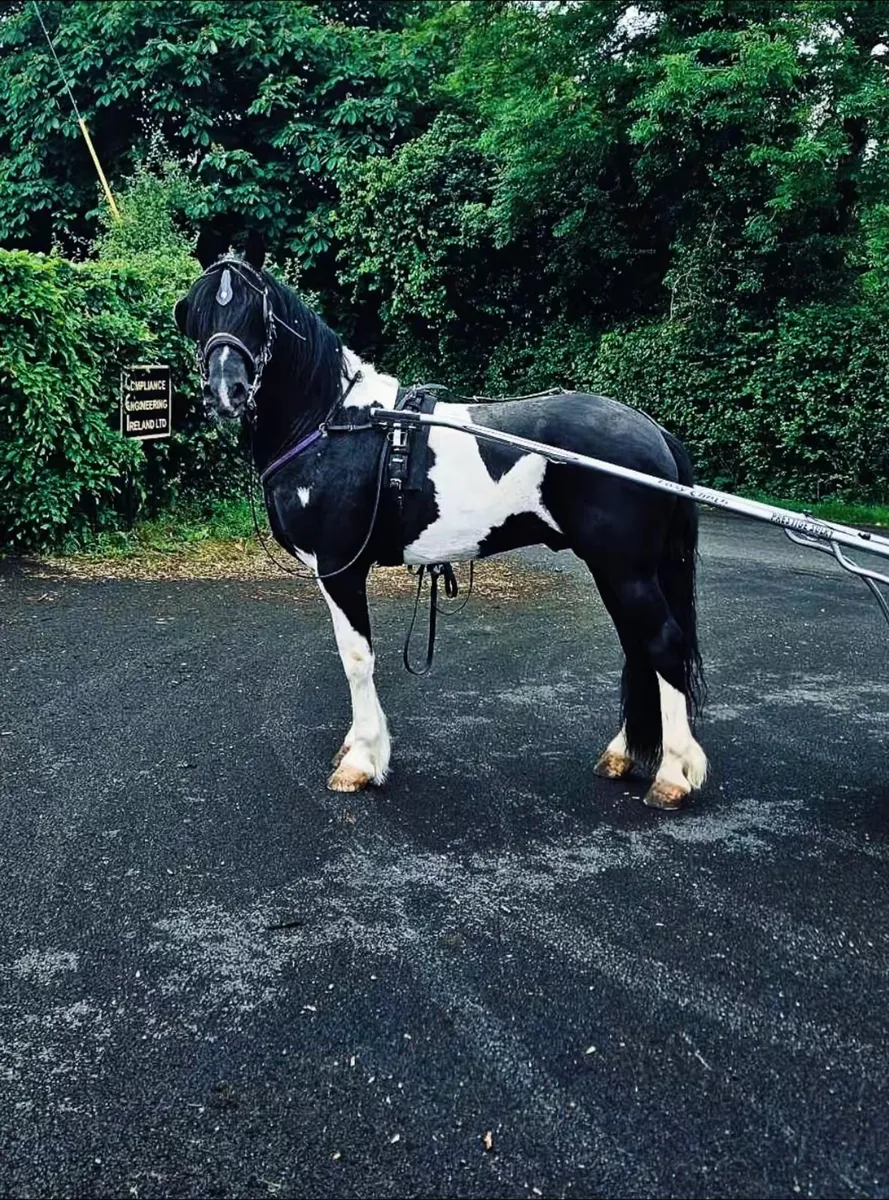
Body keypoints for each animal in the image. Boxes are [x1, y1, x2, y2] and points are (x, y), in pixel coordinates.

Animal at [174, 229, 707, 810]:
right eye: (199, 311)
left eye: (257, 311)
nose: (226, 393)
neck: (337, 423)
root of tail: (654, 431)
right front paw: (357, 748)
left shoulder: (340, 568)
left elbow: (356, 657)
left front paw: (361, 762)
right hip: (618, 572)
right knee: (638, 647)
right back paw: (624, 754)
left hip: (626, 571)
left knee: (662, 644)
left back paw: (673, 776)